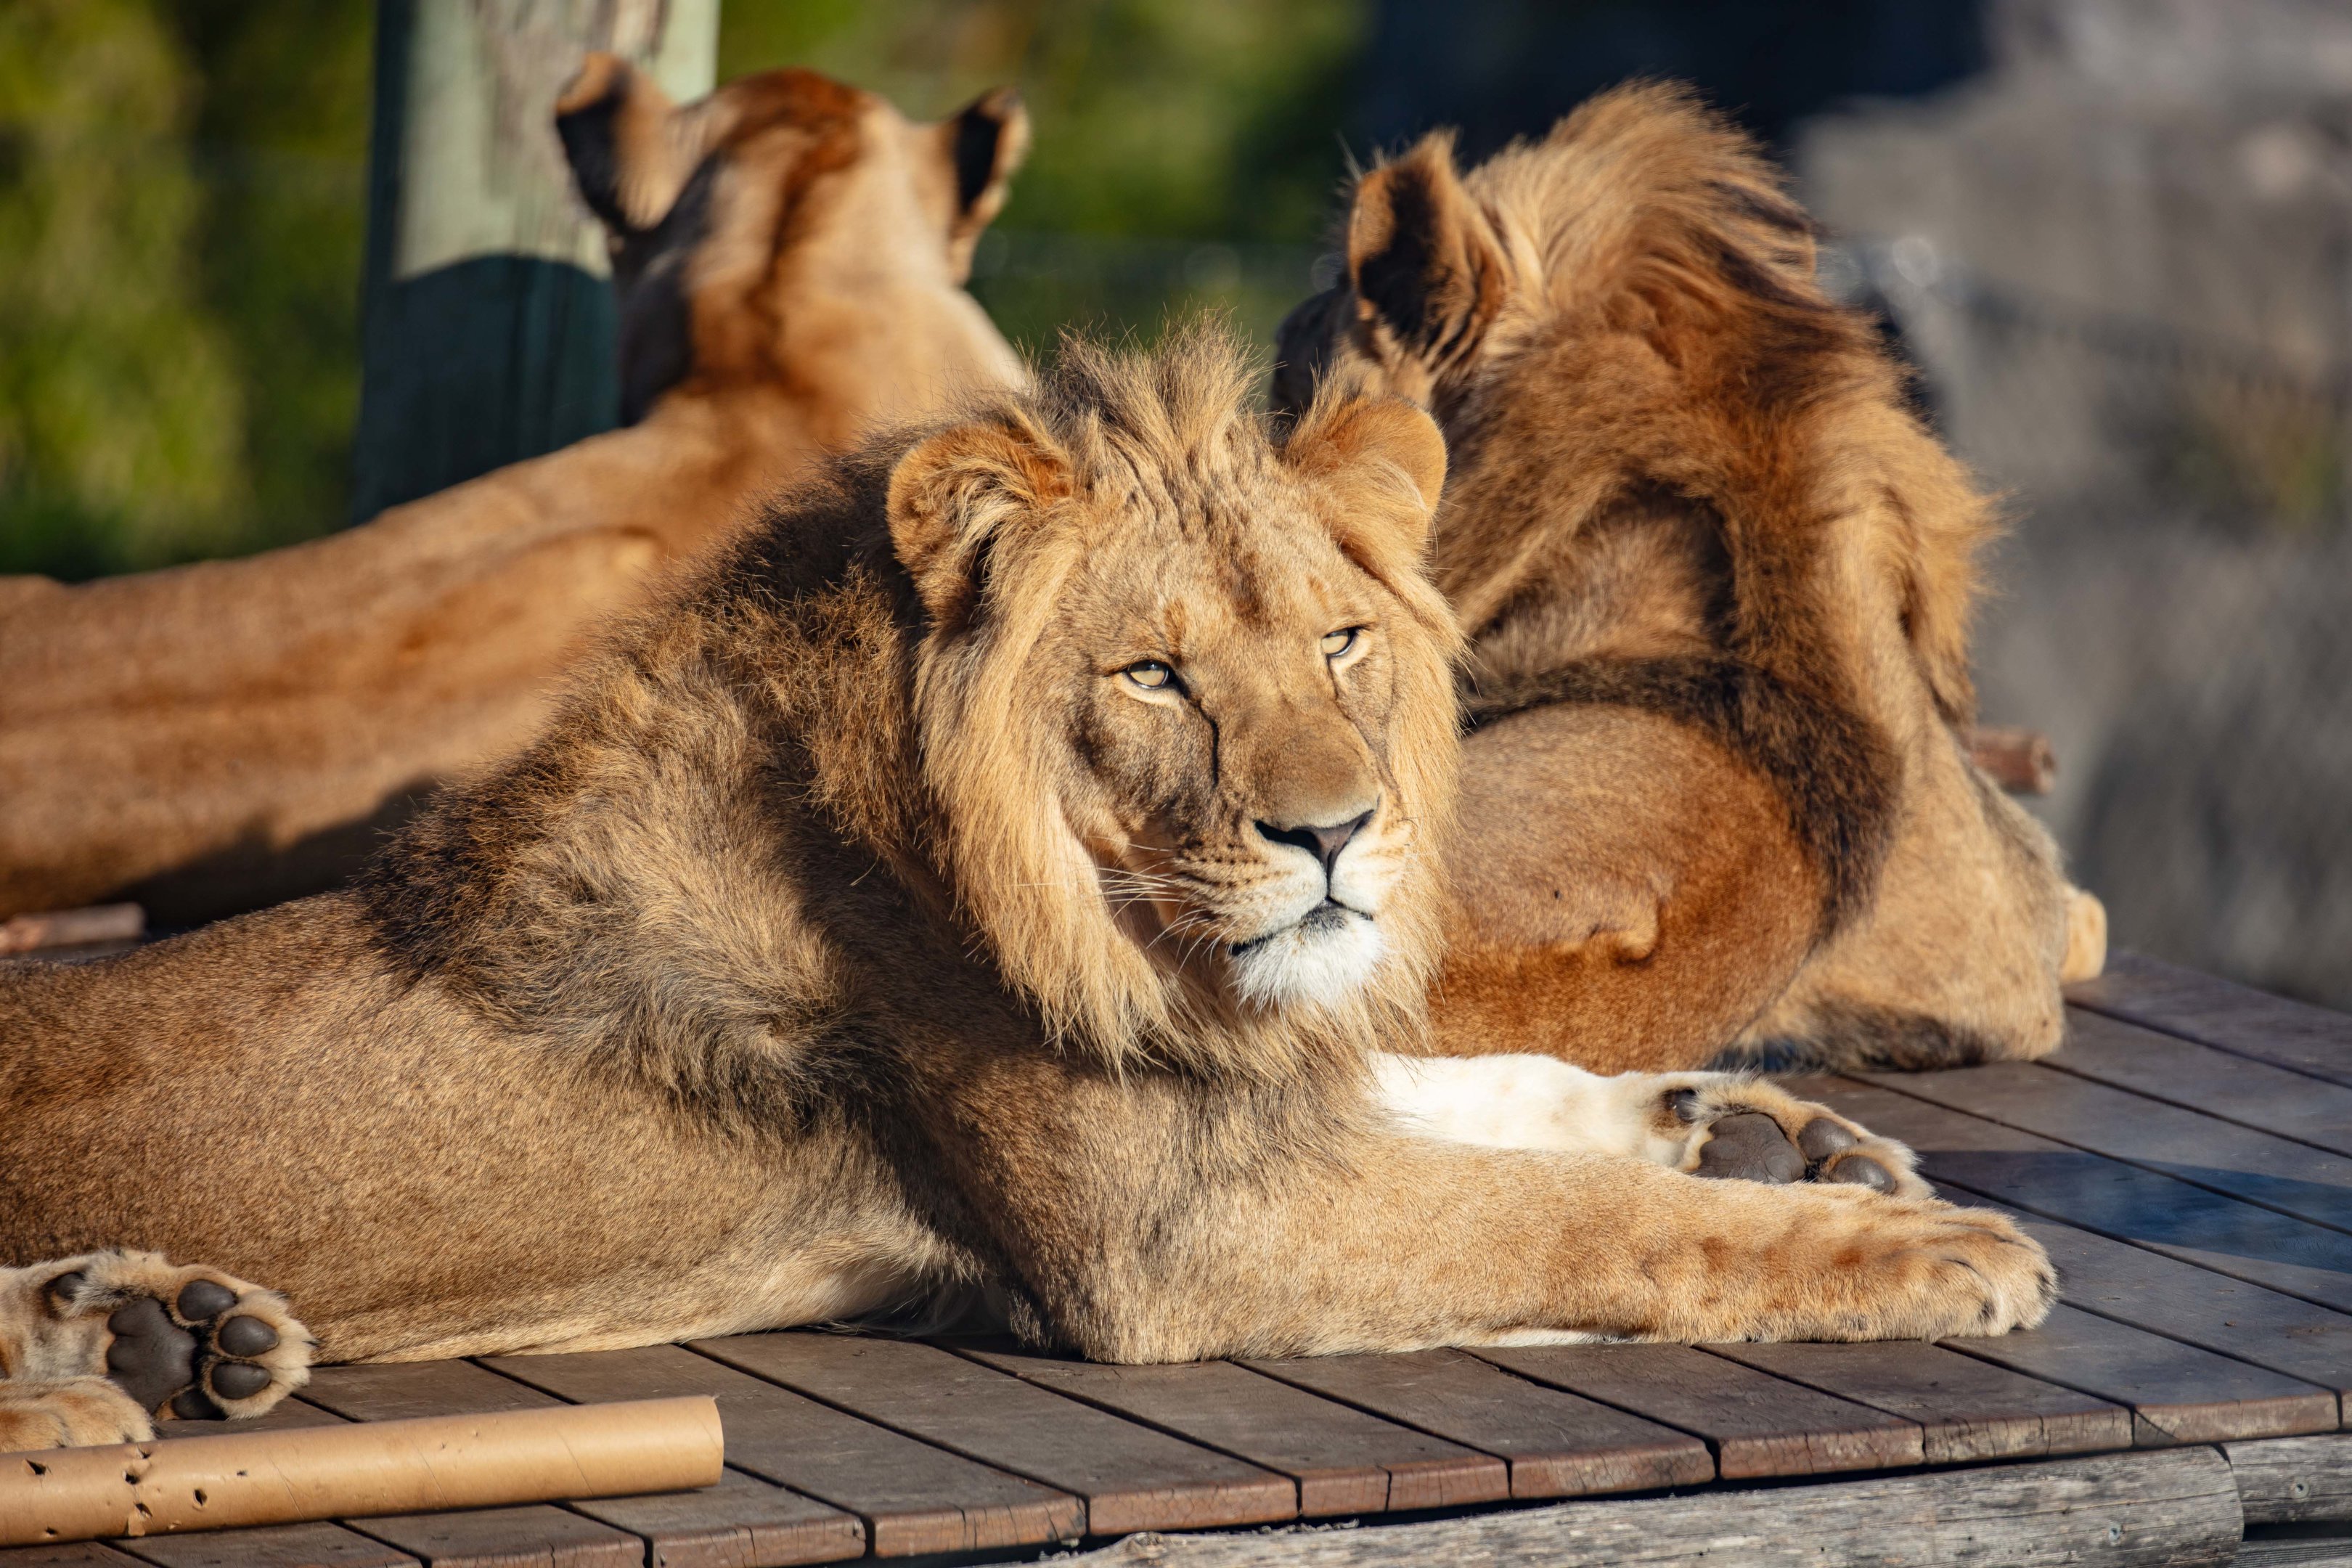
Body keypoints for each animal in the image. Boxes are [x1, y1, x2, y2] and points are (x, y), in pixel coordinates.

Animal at [0, 327, 2049, 1451]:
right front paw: (1913, 1246)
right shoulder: (1180, 1246)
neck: (1119, 930)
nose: (1334, 833)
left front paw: (1757, 1132)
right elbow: (1577, 1229)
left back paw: (160, 1333)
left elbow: (1485, 1093)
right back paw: (119, 1359)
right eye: (1152, 678)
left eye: (1337, 643)